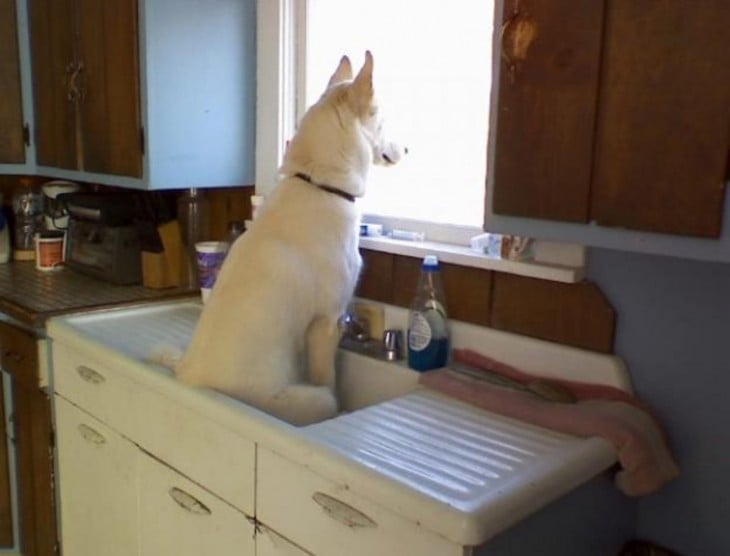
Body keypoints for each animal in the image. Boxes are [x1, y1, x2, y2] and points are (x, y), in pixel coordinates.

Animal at [174, 53, 406, 426]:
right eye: (382, 120)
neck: (321, 184)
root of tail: (189, 380)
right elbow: (329, 379)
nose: (408, 149)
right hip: (310, 399)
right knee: (323, 396)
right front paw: (340, 411)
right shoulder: (327, 322)